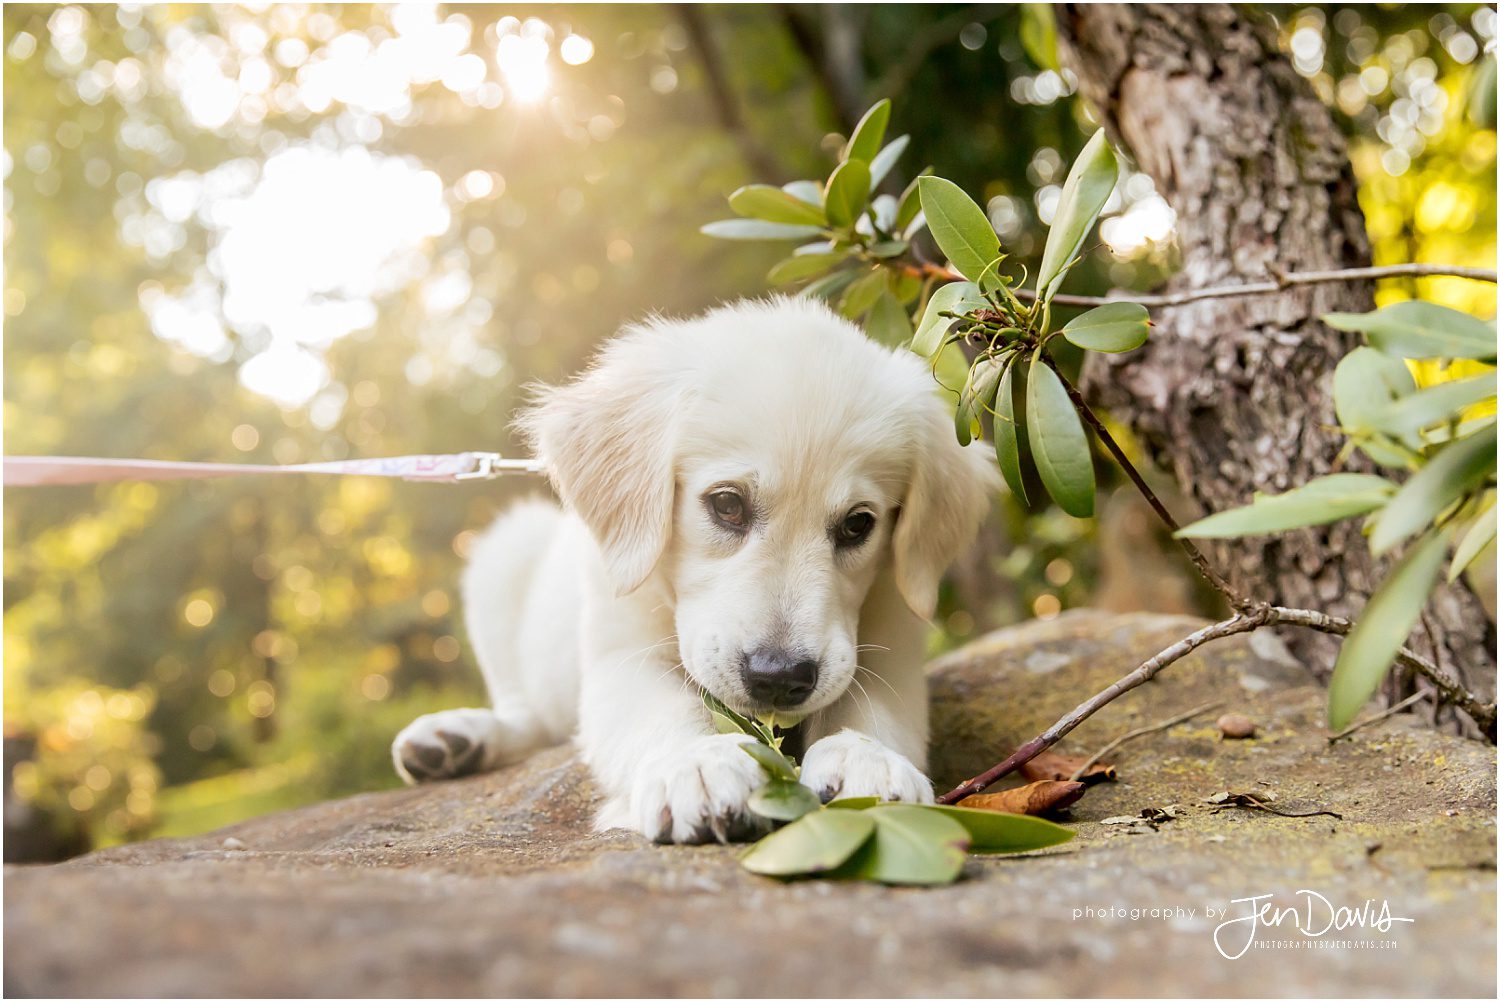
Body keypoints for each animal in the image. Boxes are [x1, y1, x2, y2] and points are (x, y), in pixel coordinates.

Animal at [393, 294, 996, 840]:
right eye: (727, 504)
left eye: (857, 525)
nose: (778, 679)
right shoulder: (619, 654)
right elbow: (665, 711)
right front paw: (700, 763)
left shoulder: (891, 641)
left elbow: (871, 707)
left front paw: (867, 761)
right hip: (504, 556)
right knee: (531, 714)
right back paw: (459, 736)